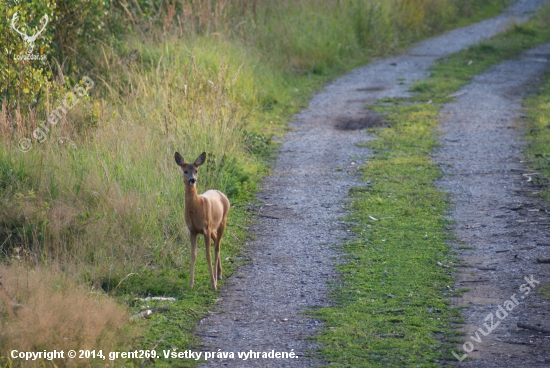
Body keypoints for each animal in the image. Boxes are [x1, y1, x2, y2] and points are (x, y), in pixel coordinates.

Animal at [175, 151, 231, 288]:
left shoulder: (205, 228)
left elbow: (207, 254)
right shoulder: (192, 230)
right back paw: (219, 274)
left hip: (222, 221)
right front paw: (191, 284)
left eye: (196, 170)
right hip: (212, 227)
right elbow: (193, 255)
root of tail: (222, 194)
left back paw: (216, 277)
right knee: (216, 241)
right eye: (185, 171)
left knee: (217, 247)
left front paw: (213, 284)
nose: (192, 180)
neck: (196, 207)